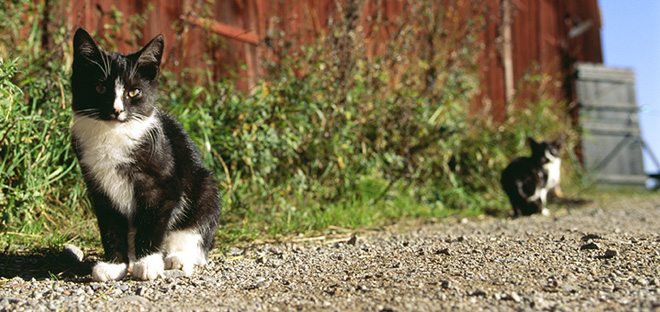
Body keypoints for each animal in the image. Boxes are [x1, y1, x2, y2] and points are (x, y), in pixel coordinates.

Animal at [71, 28, 222, 282]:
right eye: (100, 88)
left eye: (134, 92)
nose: (117, 110)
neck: (114, 136)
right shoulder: (99, 187)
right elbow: (110, 227)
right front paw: (114, 265)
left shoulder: (165, 186)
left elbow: (153, 223)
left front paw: (148, 262)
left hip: (205, 188)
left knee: (195, 234)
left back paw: (178, 258)